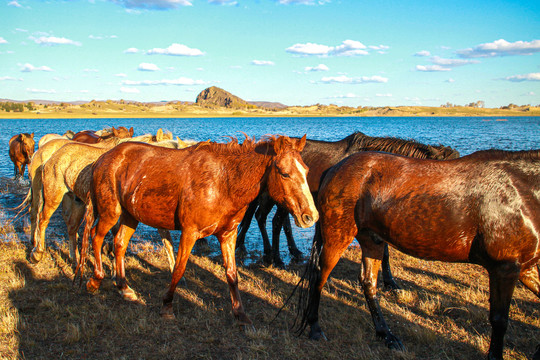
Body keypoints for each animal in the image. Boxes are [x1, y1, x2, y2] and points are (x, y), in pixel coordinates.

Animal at [78, 135, 318, 326]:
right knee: (96, 237)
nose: (310, 216)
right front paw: (167, 306)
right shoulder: (190, 233)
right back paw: (95, 281)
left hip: (130, 216)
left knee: (119, 244)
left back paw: (123, 287)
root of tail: (103, 158)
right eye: (284, 173)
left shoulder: (228, 235)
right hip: (111, 213)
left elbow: (232, 274)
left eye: (306, 170)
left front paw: (240, 314)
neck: (223, 182)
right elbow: (178, 269)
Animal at [296, 149, 540, 360]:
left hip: (372, 240)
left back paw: (387, 335)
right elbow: (499, 319)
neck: (521, 191)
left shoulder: (526, 268)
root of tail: (334, 168)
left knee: (368, 283)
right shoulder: (504, 268)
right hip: (337, 237)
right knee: (319, 277)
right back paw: (315, 328)